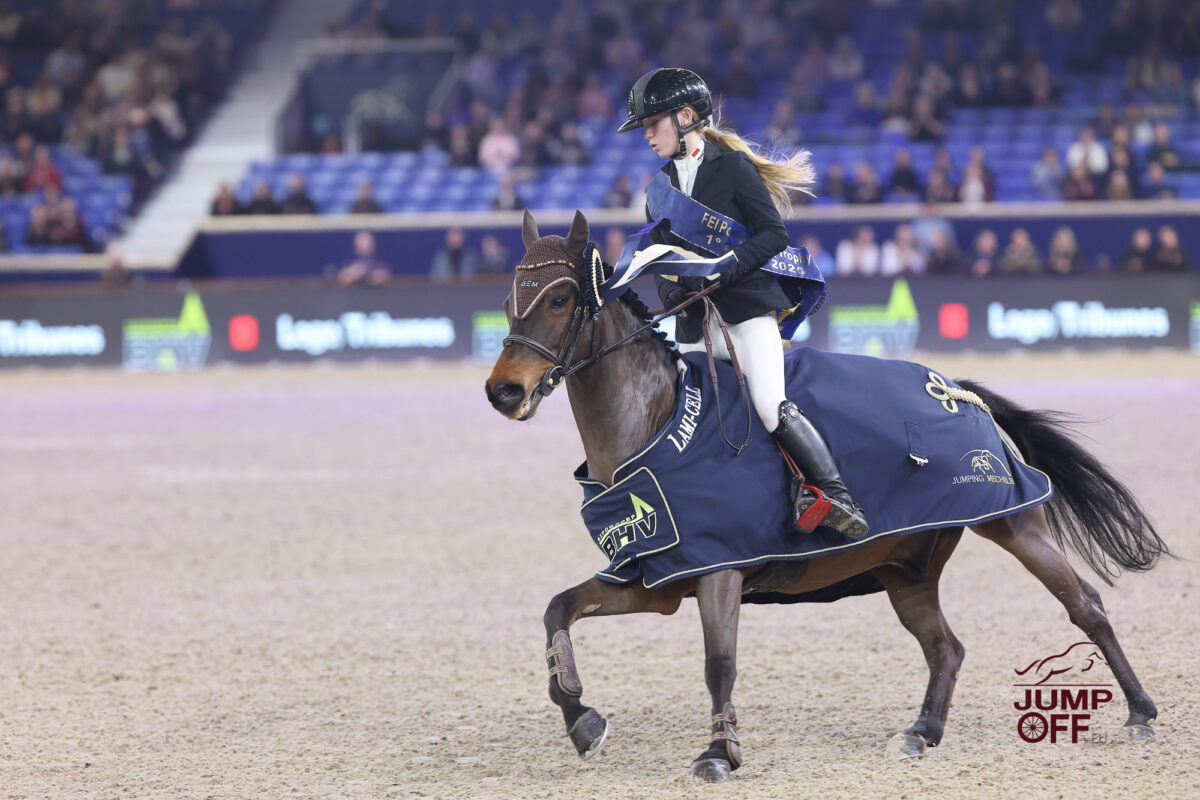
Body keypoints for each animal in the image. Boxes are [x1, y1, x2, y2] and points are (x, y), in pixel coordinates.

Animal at [484, 210, 1168, 782]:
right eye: (509, 301)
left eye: (561, 298)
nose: (503, 392)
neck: (656, 426)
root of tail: (953, 387)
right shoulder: (657, 578)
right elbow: (558, 609)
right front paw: (582, 719)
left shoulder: (718, 567)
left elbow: (719, 661)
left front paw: (719, 752)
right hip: (906, 566)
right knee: (946, 646)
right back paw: (922, 732)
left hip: (1011, 522)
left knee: (1084, 604)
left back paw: (1139, 711)